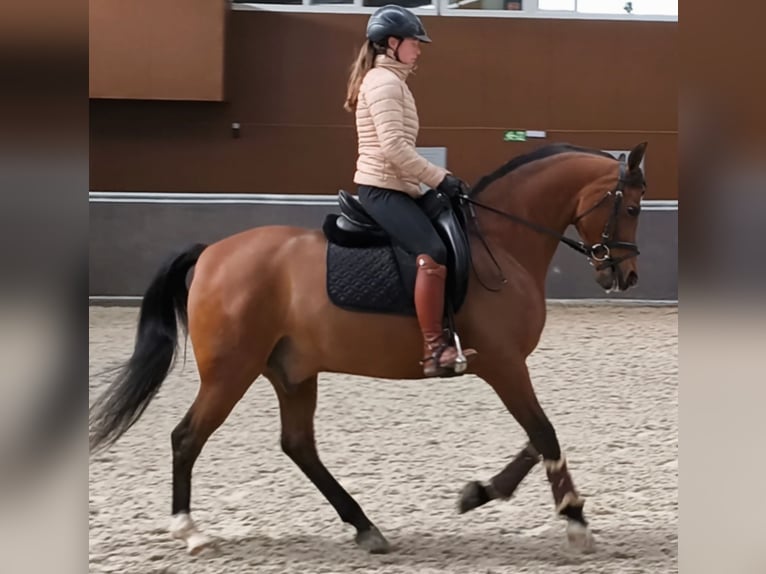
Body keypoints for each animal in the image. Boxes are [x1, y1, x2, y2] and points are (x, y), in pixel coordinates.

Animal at [89, 141, 648, 556]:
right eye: (632, 206)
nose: (625, 274)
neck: (502, 244)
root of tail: (211, 254)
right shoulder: (506, 364)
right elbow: (545, 433)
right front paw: (575, 519)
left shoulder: (506, 366)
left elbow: (537, 435)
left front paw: (480, 493)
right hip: (232, 372)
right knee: (187, 438)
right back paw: (190, 531)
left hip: (291, 371)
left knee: (298, 445)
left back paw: (365, 526)